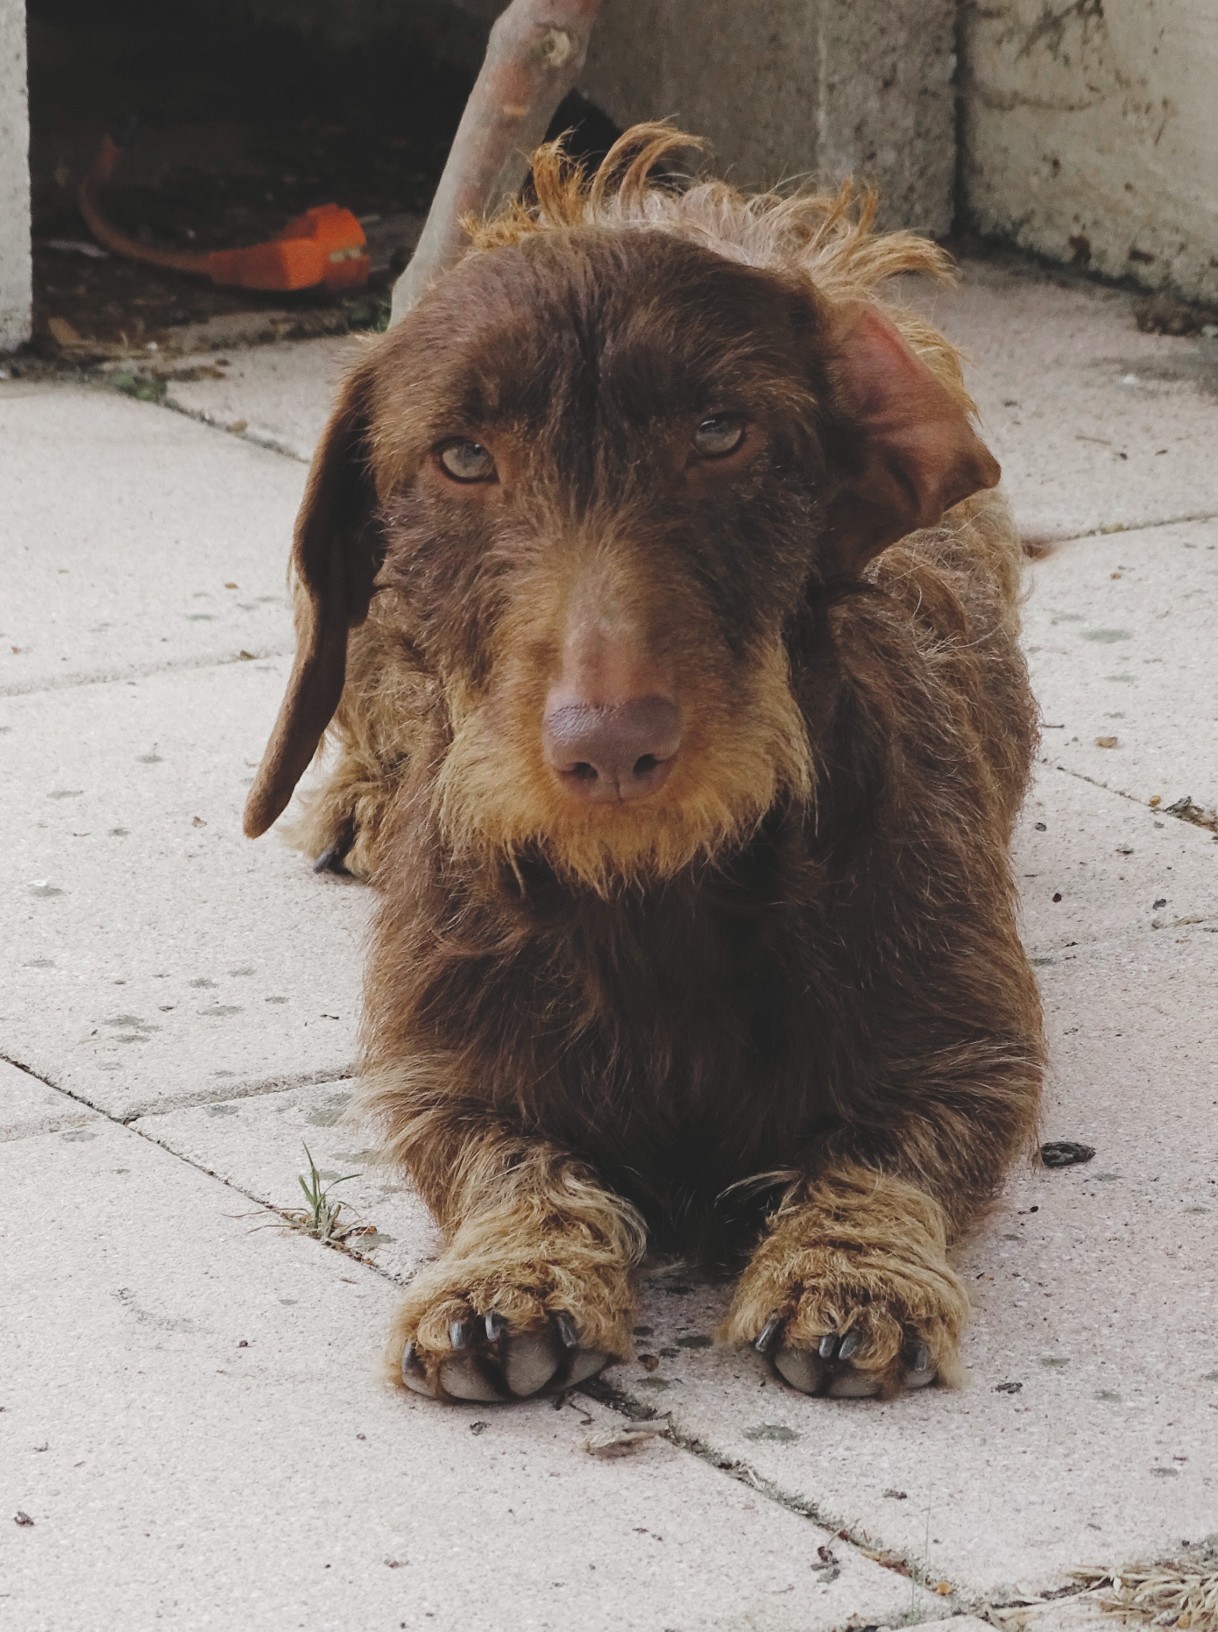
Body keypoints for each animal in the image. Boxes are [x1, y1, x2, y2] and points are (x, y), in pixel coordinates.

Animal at [241, 124, 1038, 1403]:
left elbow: (888, 1154)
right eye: (462, 456)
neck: (652, 893)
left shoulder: (970, 1050)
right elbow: (508, 1160)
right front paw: (508, 1274)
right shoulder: (439, 1070)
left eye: (719, 433)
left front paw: (848, 1272)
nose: (611, 745)